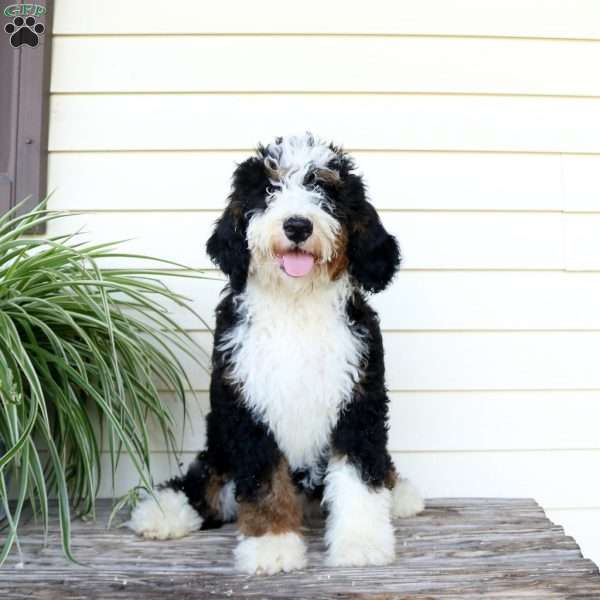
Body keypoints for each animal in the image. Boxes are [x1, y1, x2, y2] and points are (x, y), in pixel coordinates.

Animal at [129, 134, 424, 576]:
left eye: (325, 191)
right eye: (269, 190)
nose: (297, 225)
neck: (295, 303)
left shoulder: (359, 401)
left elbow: (359, 475)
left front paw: (361, 542)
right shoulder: (247, 405)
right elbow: (265, 482)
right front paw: (272, 546)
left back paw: (399, 494)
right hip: (219, 438)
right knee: (206, 482)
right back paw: (163, 513)